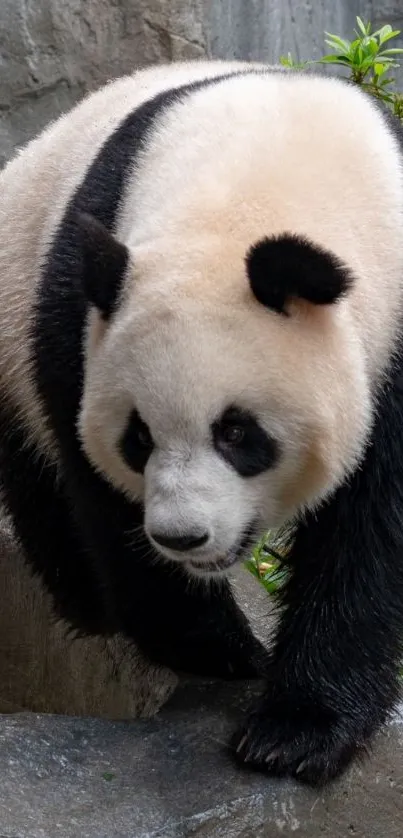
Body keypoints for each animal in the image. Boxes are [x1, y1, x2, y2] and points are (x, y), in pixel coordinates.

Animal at [0, 57, 403, 788]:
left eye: (237, 433)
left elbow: (370, 528)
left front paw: (295, 733)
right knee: (38, 481)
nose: (183, 537)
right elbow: (101, 497)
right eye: (137, 438)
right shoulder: (77, 319)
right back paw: (86, 600)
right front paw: (221, 651)